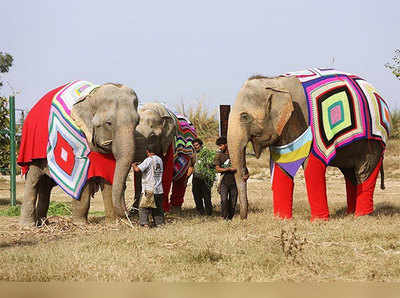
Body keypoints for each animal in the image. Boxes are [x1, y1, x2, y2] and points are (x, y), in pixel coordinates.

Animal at [17, 80, 139, 225]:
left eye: (137, 123)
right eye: (108, 123)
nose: (130, 213)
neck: (92, 95)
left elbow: (108, 179)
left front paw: (112, 223)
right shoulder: (77, 142)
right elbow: (83, 181)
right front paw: (80, 224)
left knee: (46, 186)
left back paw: (43, 223)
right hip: (32, 149)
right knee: (33, 179)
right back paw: (28, 226)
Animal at [228, 68, 390, 221]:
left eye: (244, 116)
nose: (243, 218)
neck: (275, 82)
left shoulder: (308, 125)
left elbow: (313, 164)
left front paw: (318, 221)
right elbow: (280, 166)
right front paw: (281, 219)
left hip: (374, 142)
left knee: (364, 170)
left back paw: (361, 216)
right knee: (350, 174)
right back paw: (350, 213)